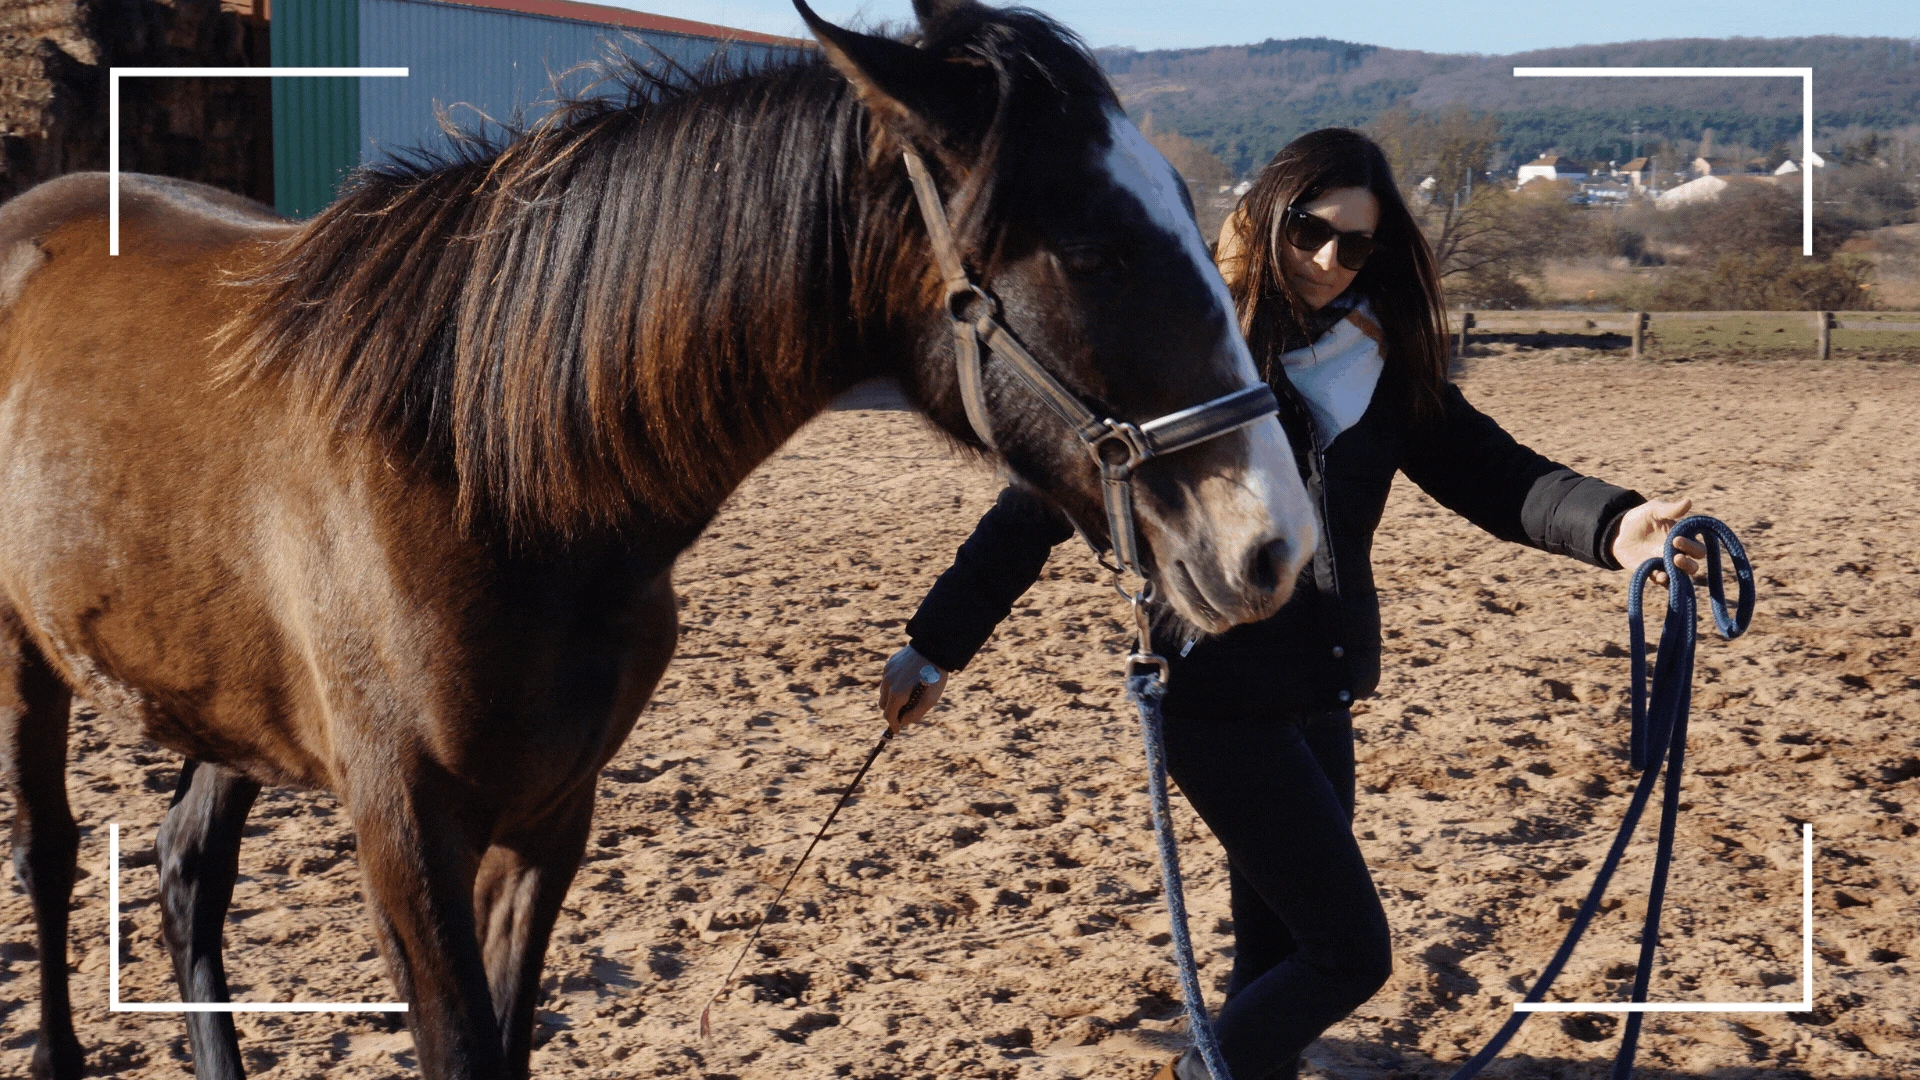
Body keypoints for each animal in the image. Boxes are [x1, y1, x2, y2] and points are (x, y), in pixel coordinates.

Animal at [0, 4, 1320, 1068]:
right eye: (1094, 250)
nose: (1275, 548)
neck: (486, 481)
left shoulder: (549, 821)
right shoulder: (406, 840)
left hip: (215, 693)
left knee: (186, 870)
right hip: (31, 666)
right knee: (52, 856)